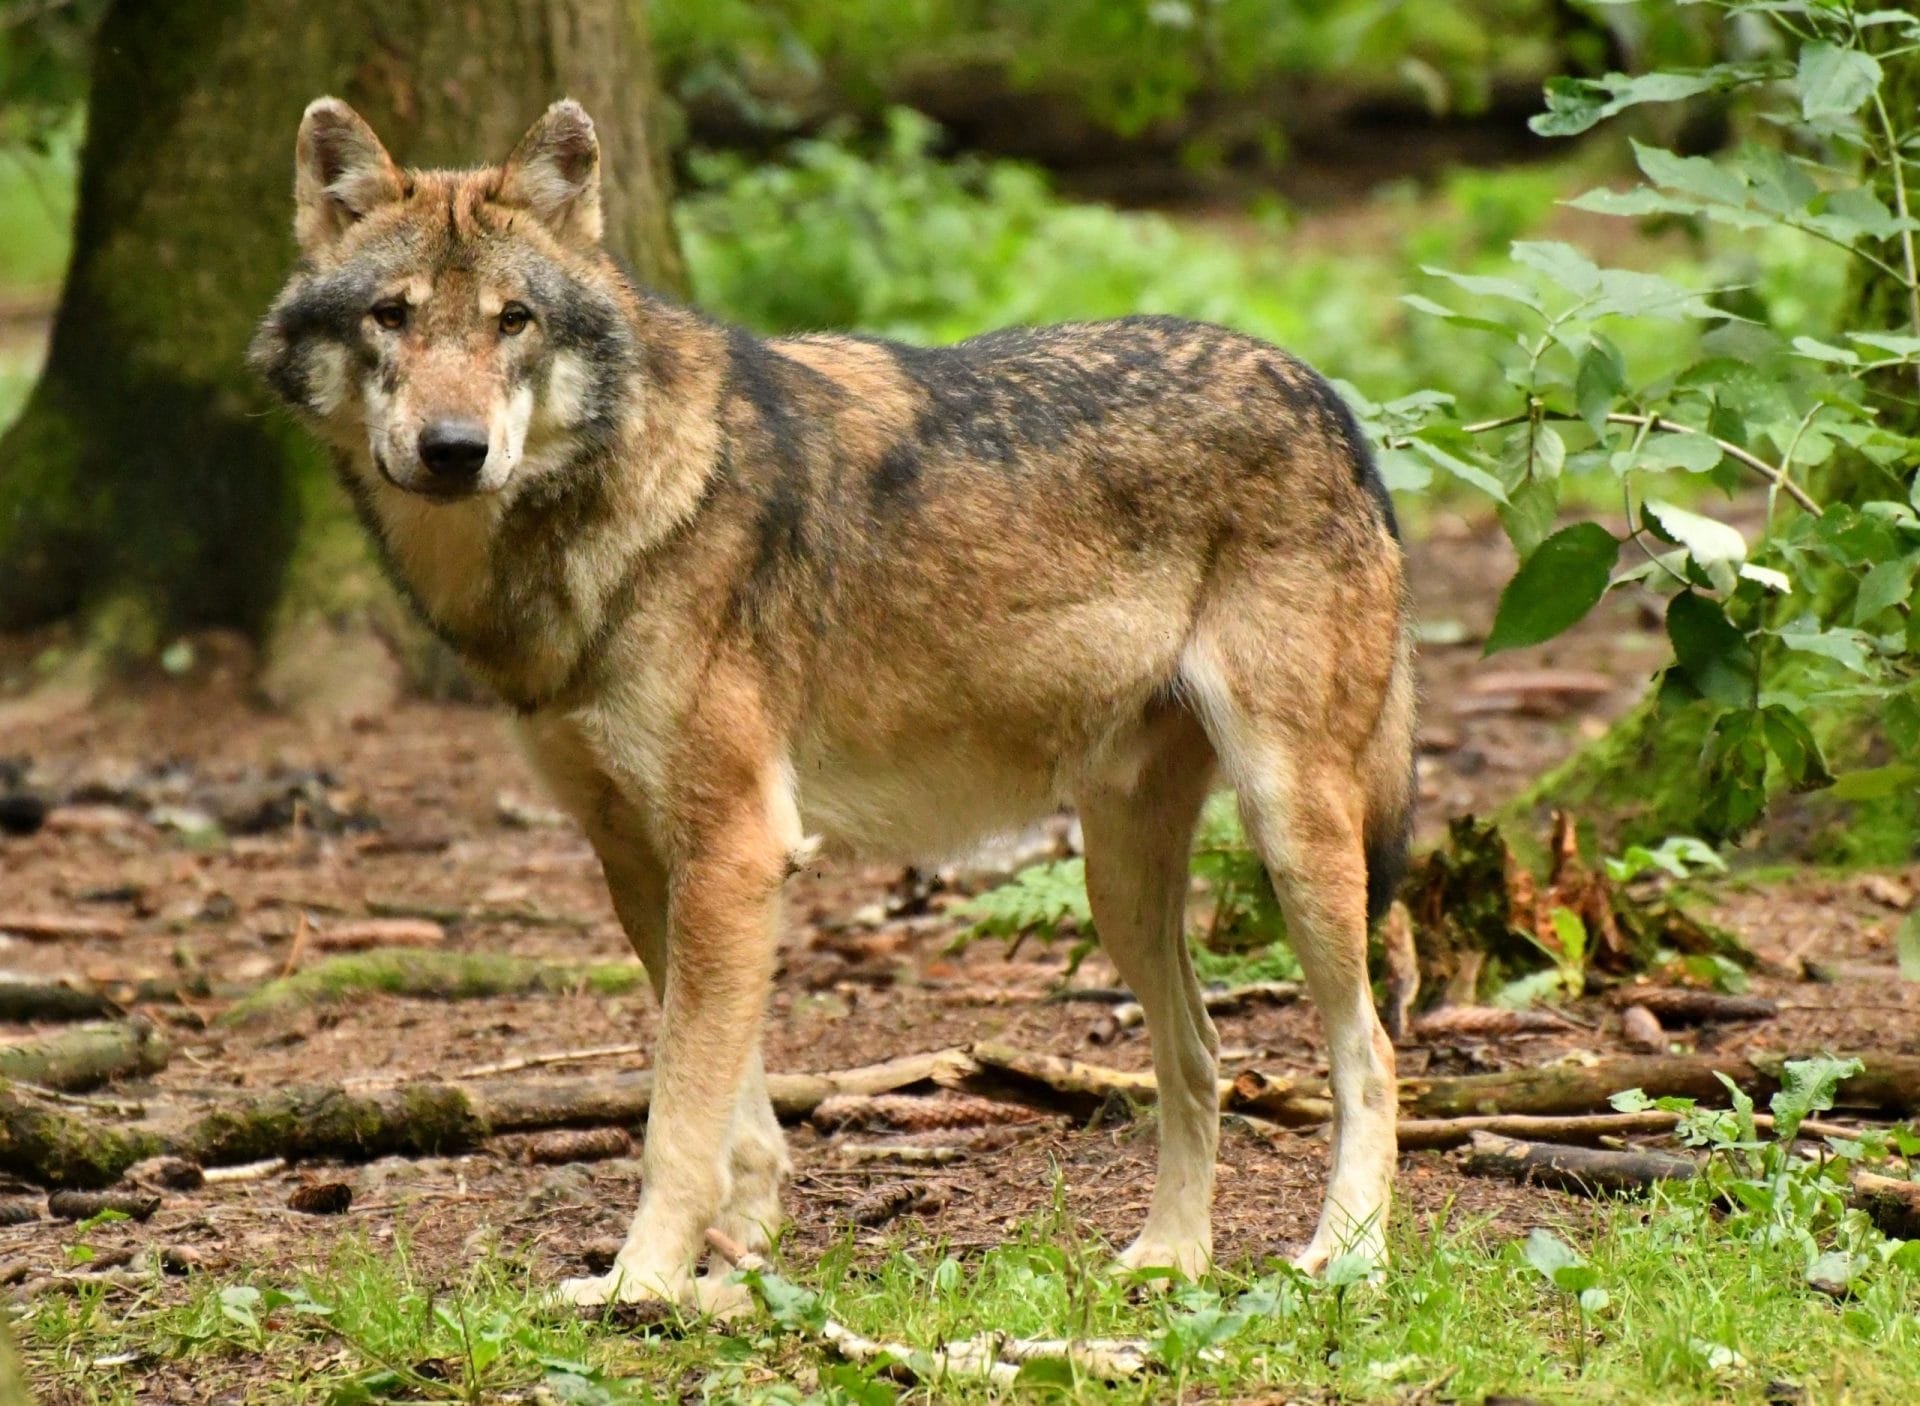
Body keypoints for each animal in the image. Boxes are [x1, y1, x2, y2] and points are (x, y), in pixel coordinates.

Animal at [251, 97, 1415, 1309]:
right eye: (392, 316)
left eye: (513, 320)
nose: (453, 450)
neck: (609, 513)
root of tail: (1325, 395)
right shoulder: (642, 861)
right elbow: (736, 1109)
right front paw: (736, 1252)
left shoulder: (735, 847)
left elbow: (676, 1117)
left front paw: (638, 1284)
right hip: (1120, 884)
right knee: (1202, 1056)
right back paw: (1169, 1258)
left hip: (1291, 834)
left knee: (1372, 1053)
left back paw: (1348, 1254)